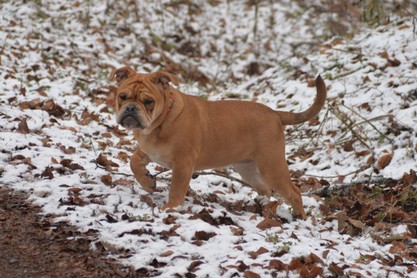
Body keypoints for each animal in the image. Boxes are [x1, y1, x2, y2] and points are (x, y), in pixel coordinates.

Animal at [109, 67, 326, 219]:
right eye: (122, 96)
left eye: (148, 102)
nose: (130, 108)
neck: (160, 122)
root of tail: (275, 114)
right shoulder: (149, 150)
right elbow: (133, 162)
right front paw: (147, 182)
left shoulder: (183, 164)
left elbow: (176, 188)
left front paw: (170, 208)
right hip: (247, 168)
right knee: (264, 188)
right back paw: (263, 204)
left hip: (272, 166)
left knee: (294, 192)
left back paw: (301, 218)